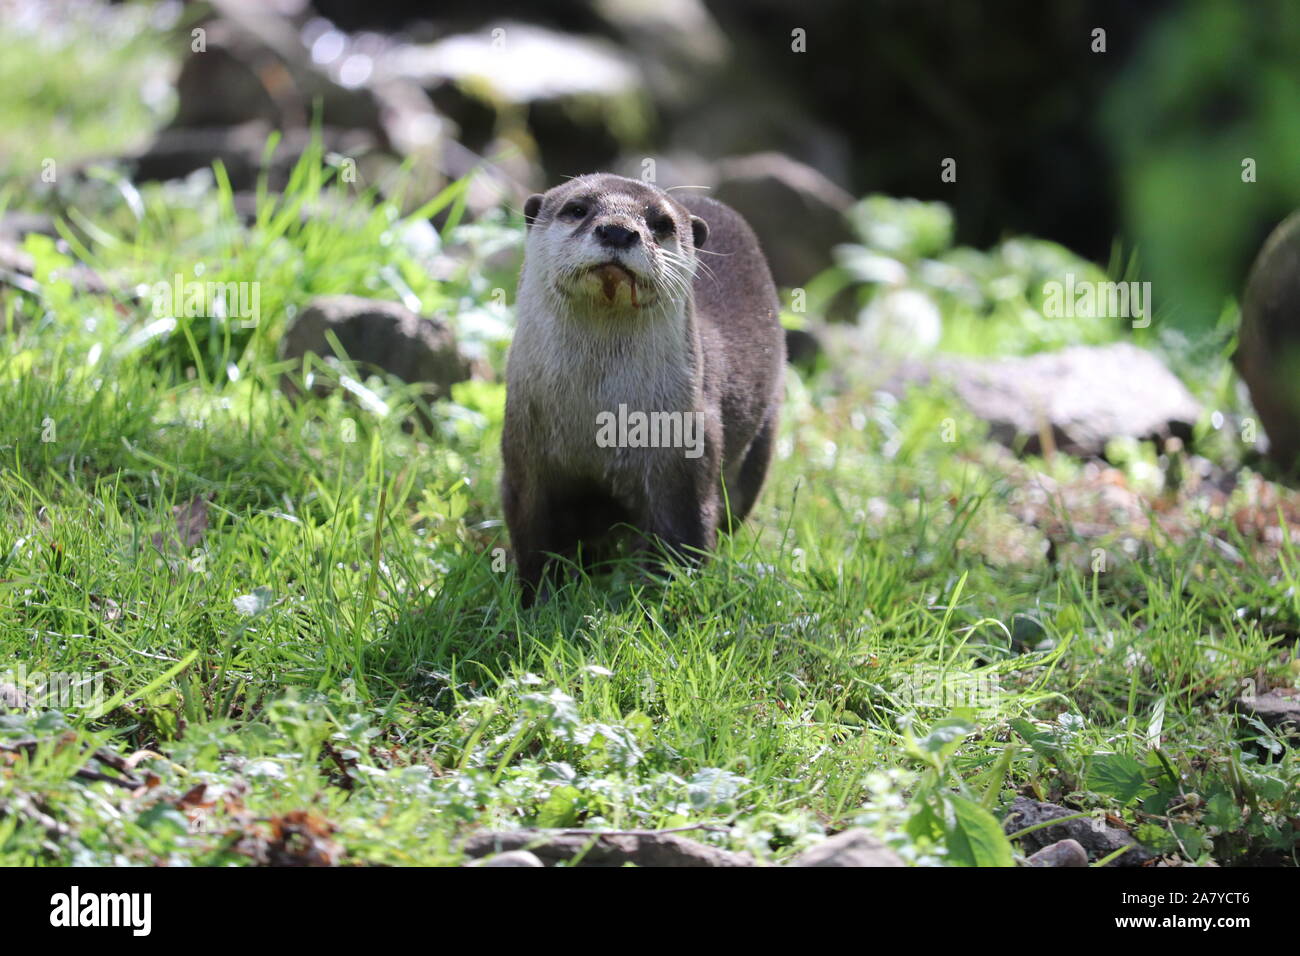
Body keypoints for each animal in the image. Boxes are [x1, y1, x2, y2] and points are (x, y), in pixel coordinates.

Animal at [499, 175, 780, 600]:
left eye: (661, 223)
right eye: (577, 209)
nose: (618, 230)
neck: (599, 415)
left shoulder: (686, 455)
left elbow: (683, 539)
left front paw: (665, 599)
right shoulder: (523, 452)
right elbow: (533, 534)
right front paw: (536, 598)